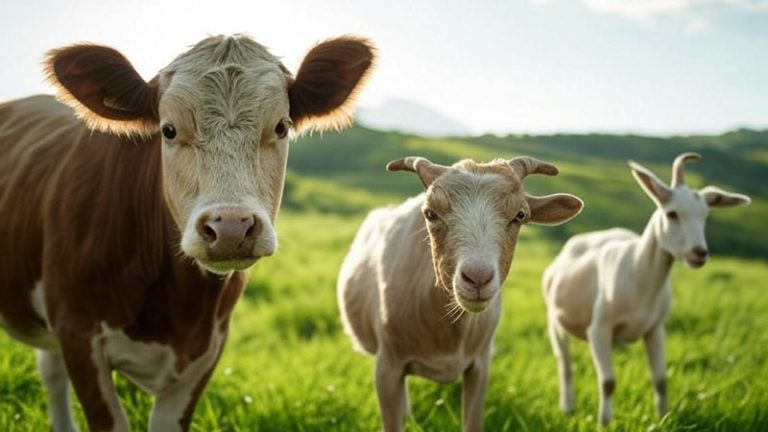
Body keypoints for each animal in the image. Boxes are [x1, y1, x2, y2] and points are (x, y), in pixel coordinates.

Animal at [0, 34, 375, 431]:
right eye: (168, 129)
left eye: (281, 127)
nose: (230, 227)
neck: (174, 305)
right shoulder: (78, 333)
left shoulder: (207, 350)